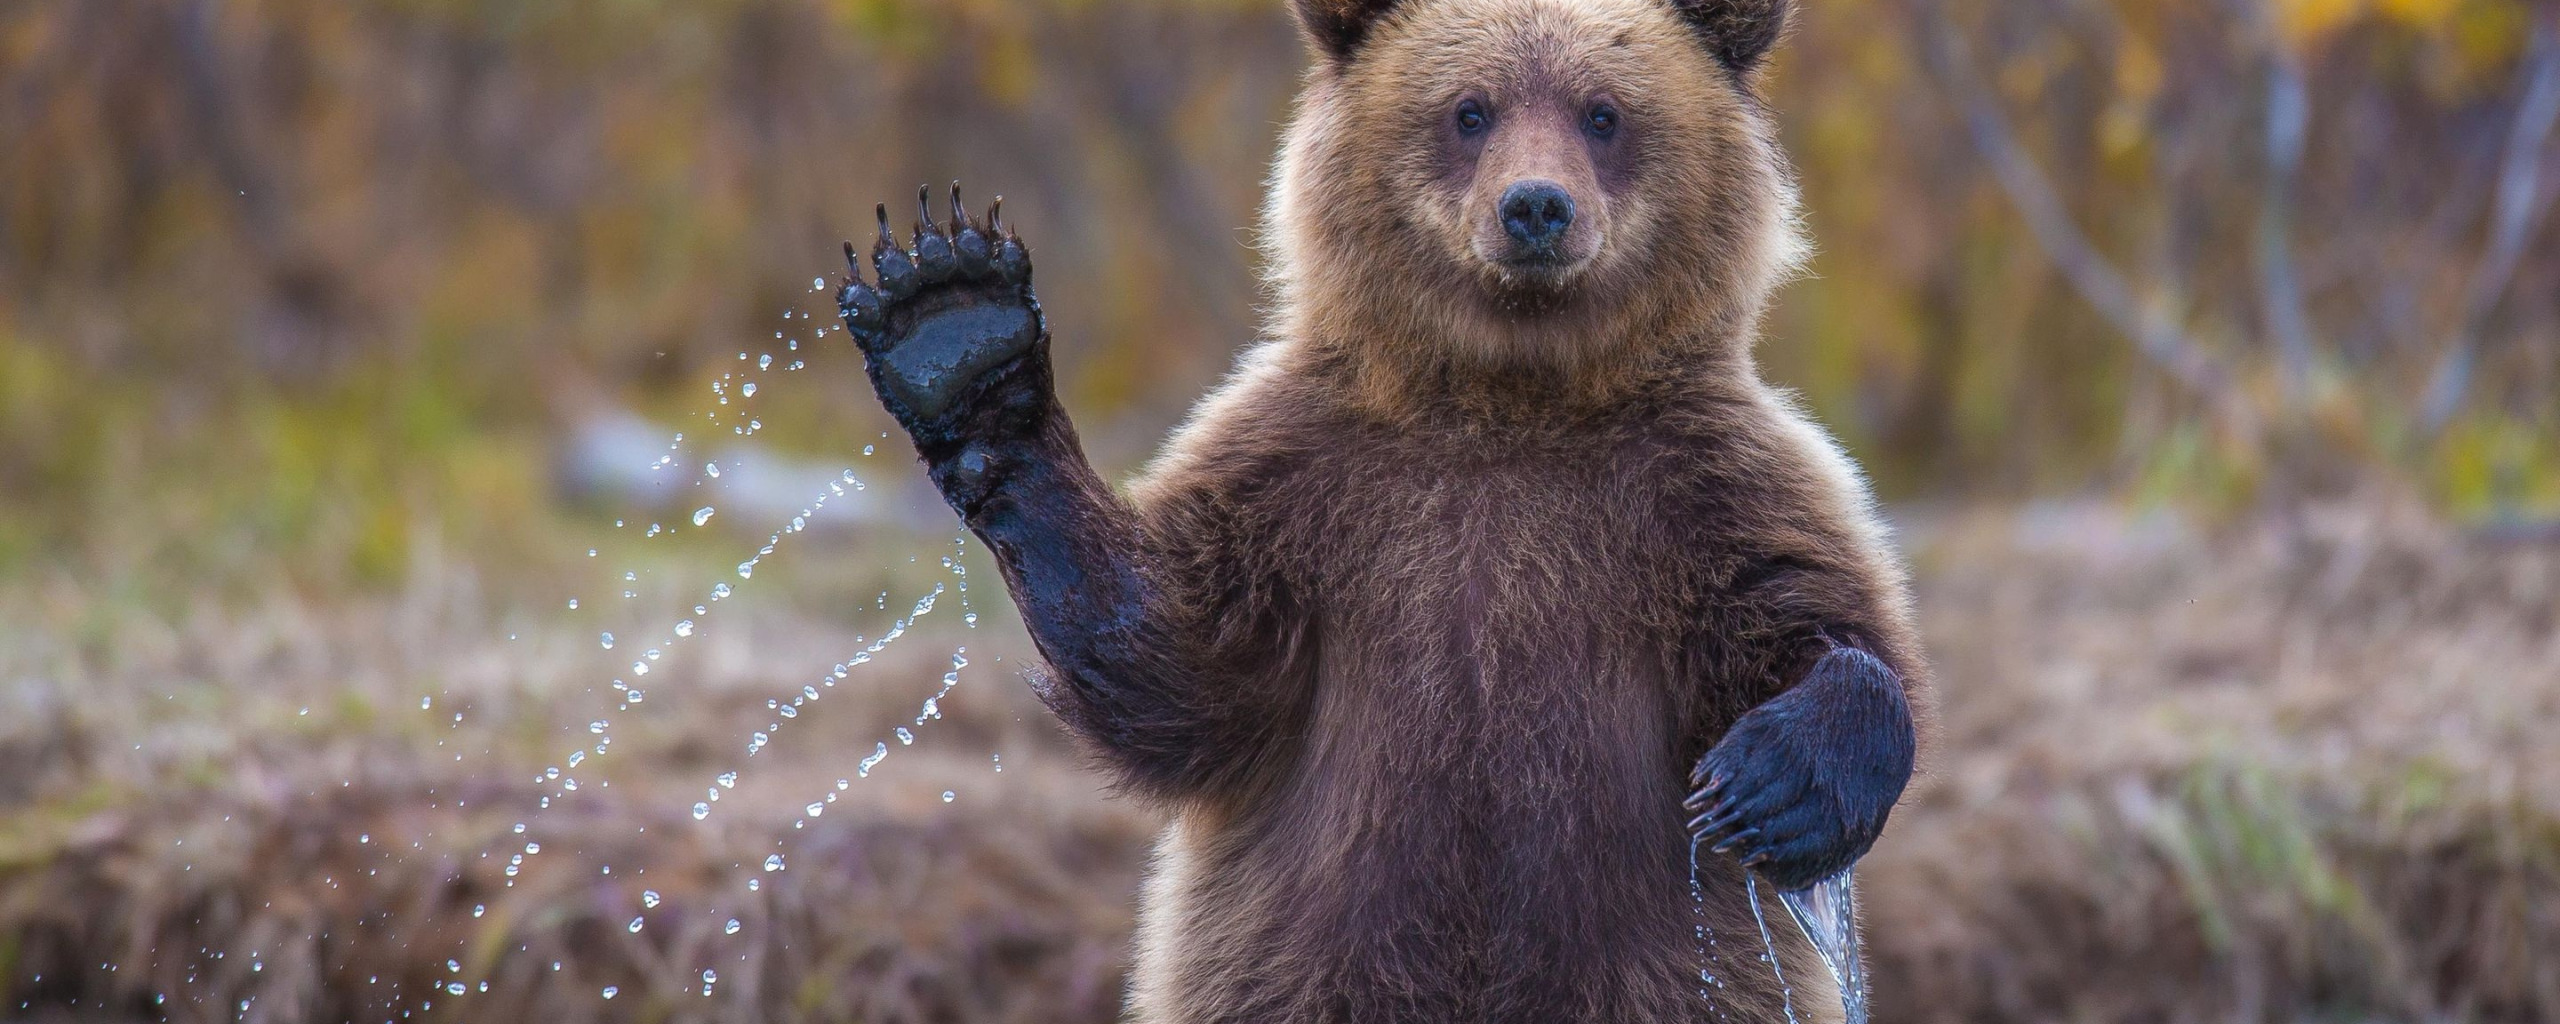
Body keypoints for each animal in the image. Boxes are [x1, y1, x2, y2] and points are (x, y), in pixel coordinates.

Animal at [829, 0, 1925, 1018]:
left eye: (1604, 112)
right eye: (1469, 109)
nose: (1536, 208)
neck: (1510, 397)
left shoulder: (1701, 486)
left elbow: (1821, 620)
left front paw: (1775, 783)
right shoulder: (1305, 484)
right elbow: (1176, 661)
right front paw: (955, 324)